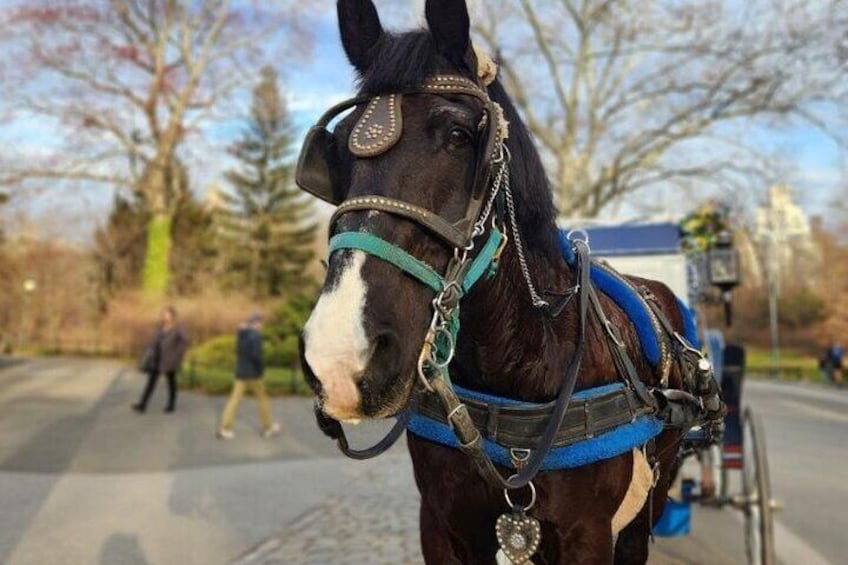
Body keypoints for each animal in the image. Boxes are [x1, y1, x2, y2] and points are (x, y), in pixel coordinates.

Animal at [298, 2, 724, 560]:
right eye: (340, 151)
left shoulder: (588, 535)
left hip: (649, 502)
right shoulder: (443, 527)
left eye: (459, 136)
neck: (519, 365)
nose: (340, 356)